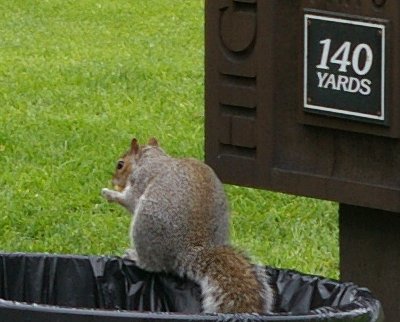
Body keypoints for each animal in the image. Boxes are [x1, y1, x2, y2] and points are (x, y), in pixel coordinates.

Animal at [102, 137, 276, 314]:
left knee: (152, 266)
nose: (114, 181)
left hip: (144, 226)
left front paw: (110, 193)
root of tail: (189, 251)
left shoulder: (141, 178)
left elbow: (130, 199)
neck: (152, 158)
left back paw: (134, 256)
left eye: (120, 165)